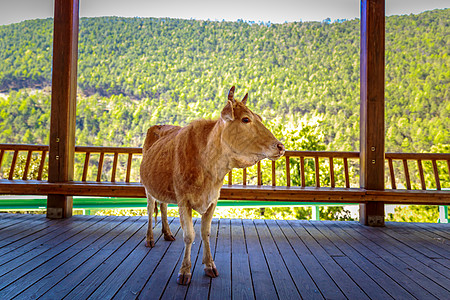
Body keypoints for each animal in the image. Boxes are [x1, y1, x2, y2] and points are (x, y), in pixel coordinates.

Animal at [141, 85, 284, 284]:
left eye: (260, 118)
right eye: (245, 119)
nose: (280, 146)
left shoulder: (213, 200)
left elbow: (205, 232)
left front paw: (209, 265)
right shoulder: (184, 200)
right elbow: (189, 235)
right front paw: (185, 271)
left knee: (162, 206)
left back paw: (167, 233)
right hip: (148, 187)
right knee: (150, 209)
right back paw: (149, 238)